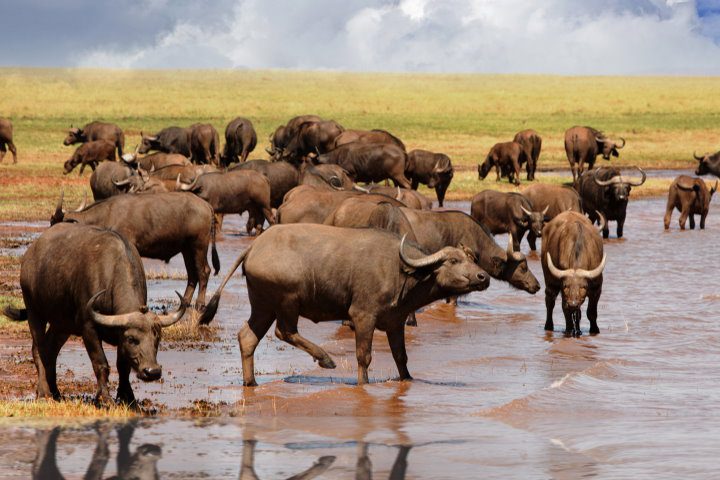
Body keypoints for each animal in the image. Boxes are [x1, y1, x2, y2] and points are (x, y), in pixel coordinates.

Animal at [3, 223, 184, 404]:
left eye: (157, 338)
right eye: (132, 339)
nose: (152, 372)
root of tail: (30, 255)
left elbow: (123, 366)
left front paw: (127, 397)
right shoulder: (88, 329)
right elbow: (101, 364)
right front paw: (105, 398)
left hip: (62, 324)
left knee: (51, 349)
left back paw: (56, 392)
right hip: (34, 311)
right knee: (38, 349)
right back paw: (43, 392)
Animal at [51, 192, 220, 310]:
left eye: (60, 225)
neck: (108, 214)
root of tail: (206, 205)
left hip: (199, 245)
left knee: (204, 271)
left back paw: (200, 304)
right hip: (186, 249)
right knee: (192, 274)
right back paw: (184, 302)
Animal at [199, 224, 490, 385]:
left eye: (471, 258)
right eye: (452, 261)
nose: (483, 277)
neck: (403, 271)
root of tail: (255, 247)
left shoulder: (395, 322)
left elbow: (401, 356)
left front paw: (407, 379)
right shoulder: (363, 317)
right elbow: (364, 356)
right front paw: (364, 383)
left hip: (263, 306)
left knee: (248, 337)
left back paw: (251, 382)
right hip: (287, 301)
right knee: (285, 331)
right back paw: (326, 359)